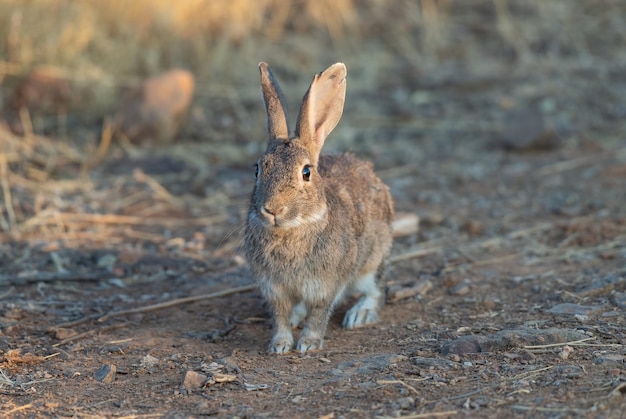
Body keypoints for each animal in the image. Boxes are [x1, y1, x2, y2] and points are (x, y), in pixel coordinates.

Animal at [243, 62, 392, 356]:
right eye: (257, 169)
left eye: (306, 172)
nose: (272, 210)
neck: (293, 228)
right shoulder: (274, 288)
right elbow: (279, 316)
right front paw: (280, 345)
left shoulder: (326, 285)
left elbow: (320, 313)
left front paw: (308, 344)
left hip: (371, 262)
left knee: (375, 291)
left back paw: (359, 315)